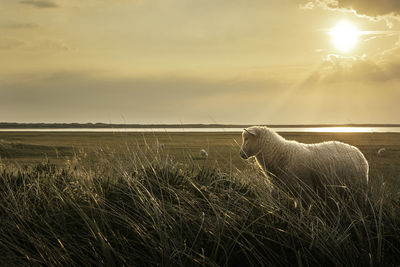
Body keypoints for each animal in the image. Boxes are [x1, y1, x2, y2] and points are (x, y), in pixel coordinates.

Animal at [239, 126, 370, 198]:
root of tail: (359, 153)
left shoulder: (305, 189)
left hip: (358, 187)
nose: (241, 154)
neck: (281, 154)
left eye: (247, 138)